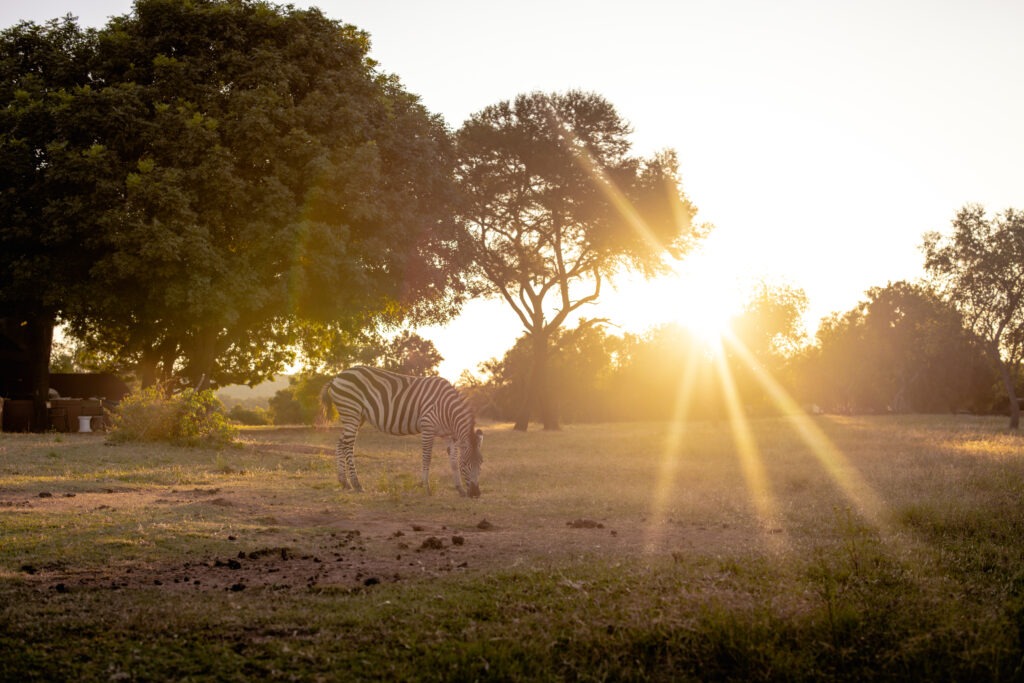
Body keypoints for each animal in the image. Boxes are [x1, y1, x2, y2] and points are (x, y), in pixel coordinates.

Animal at [320, 366, 483, 497]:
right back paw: (356, 484)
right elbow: (427, 458)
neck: (447, 409)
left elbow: (453, 461)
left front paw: (460, 489)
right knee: (348, 446)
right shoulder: (427, 427)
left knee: (340, 443)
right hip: (351, 412)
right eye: (466, 463)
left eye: (481, 462)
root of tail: (337, 377)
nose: (476, 494)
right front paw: (426, 487)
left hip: (357, 417)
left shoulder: (449, 435)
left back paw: (344, 482)